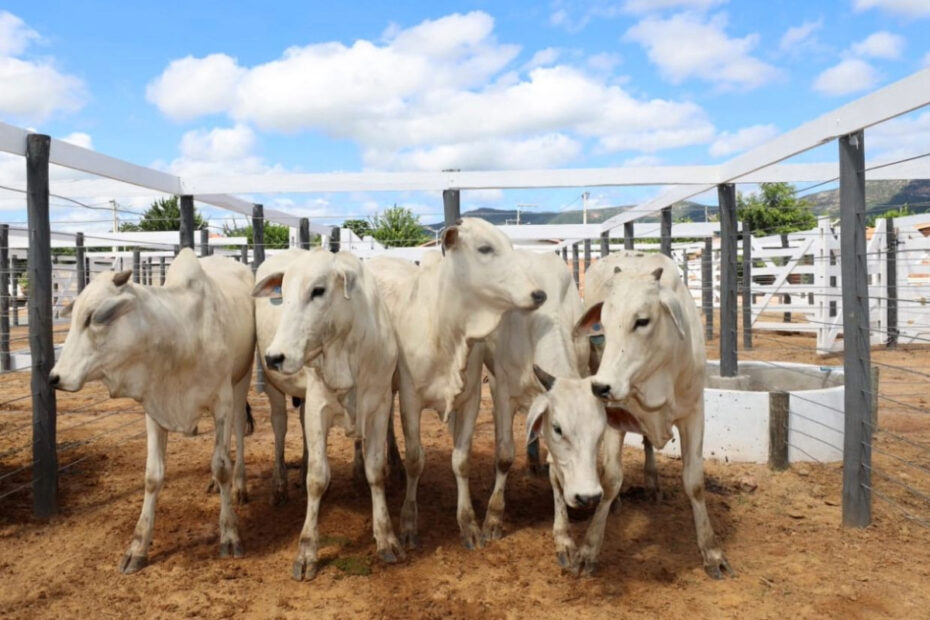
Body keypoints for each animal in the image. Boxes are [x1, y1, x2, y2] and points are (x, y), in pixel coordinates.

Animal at [49, 249, 254, 572]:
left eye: (95, 317)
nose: (55, 377)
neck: (179, 332)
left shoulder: (222, 401)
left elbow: (222, 465)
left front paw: (230, 534)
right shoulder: (154, 408)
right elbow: (153, 475)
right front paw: (138, 547)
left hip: (241, 380)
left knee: (238, 430)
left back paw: (240, 485)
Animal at [254, 248, 402, 580]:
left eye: (318, 290)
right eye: (282, 294)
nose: (275, 357)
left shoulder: (379, 405)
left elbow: (376, 471)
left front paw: (386, 537)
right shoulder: (318, 407)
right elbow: (317, 478)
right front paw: (307, 551)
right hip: (274, 389)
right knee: (280, 430)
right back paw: (279, 486)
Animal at [366, 218, 548, 548]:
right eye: (485, 248)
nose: (538, 294)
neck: (446, 330)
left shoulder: (470, 399)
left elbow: (461, 460)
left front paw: (469, 523)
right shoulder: (410, 400)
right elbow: (416, 459)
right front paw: (408, 523)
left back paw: (393, 464)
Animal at [478, 249, 588, 540]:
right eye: (560, 429)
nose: (585, 499)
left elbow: (555, 467)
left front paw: (563, 533)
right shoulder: (504, 393)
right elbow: (505, 455)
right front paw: (493, 518)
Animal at [572, 249, 732, 580]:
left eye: (642, 321)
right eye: (603, 324)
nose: (601, 386)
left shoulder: (694, 413)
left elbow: (694, 482)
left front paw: (711, 550)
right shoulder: (613, 418)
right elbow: (611, 479)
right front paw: (589, 548)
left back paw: (652, 483)